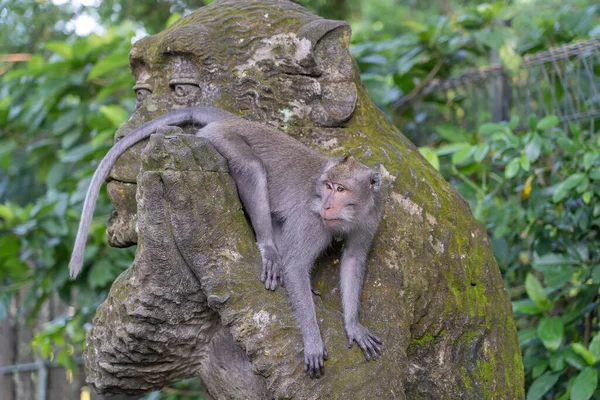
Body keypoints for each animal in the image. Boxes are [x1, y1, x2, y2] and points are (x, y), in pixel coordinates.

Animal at [68, 105, 382, 378]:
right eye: (327, 186)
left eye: (340, 189)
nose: (326, 204)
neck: (349, 214)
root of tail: (237, 120)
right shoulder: (312, 221)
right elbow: (294, 267)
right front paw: (313, 341)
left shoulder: (370, 219)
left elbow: (353, 260)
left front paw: (354, 326)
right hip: (220, 140)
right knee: (253, 169)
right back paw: (269, 248)